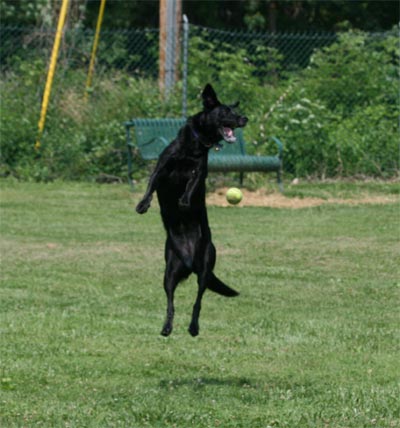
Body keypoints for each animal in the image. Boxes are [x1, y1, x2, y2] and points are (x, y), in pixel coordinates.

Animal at [137, 83, 247, 336]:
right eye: (226, 111)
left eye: (236, 111)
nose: (245, 118)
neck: (194, 146)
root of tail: (188, 261)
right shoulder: (162, 168)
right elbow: (150, 185)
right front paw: (143, 204)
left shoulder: (199, 172)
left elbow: (191, 184)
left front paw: (185, 201)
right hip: (169, 272)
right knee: (170, 302)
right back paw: (167, 327)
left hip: (205, 269)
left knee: (198, 302)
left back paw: (193, 327)